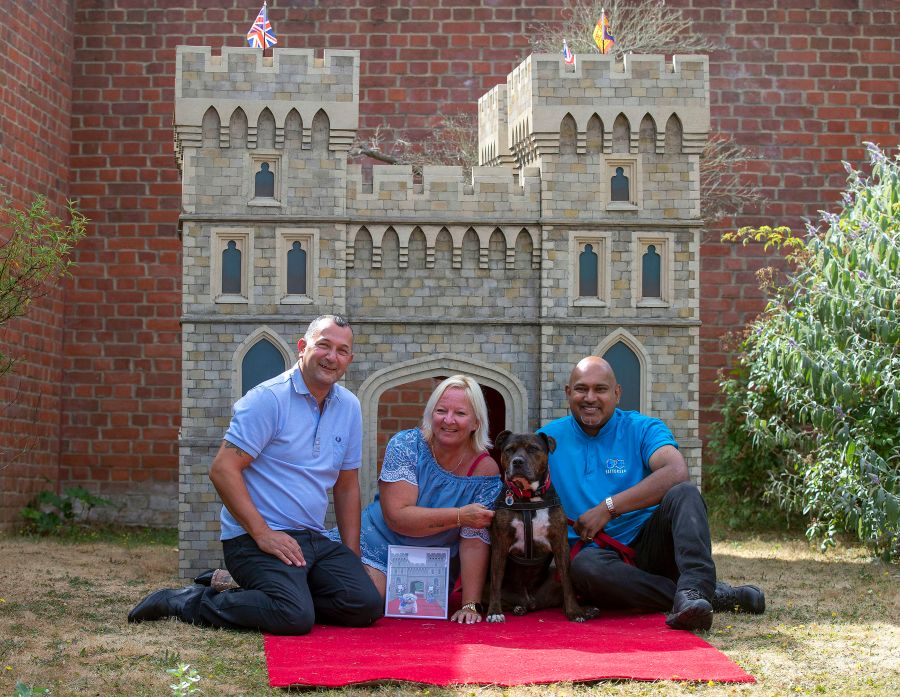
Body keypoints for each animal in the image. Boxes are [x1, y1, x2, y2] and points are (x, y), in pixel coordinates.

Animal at [486, 430, 596, 620]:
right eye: (509, 450)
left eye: (533, 449)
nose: (517, 461)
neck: (529, 497)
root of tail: (530, 601)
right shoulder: (500, 544)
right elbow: (495, 581)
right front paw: (494, 612)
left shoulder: (560, 544)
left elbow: (568, 583)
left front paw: (575, 612)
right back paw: (517, 608)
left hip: (554, 576)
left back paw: (586, 609)